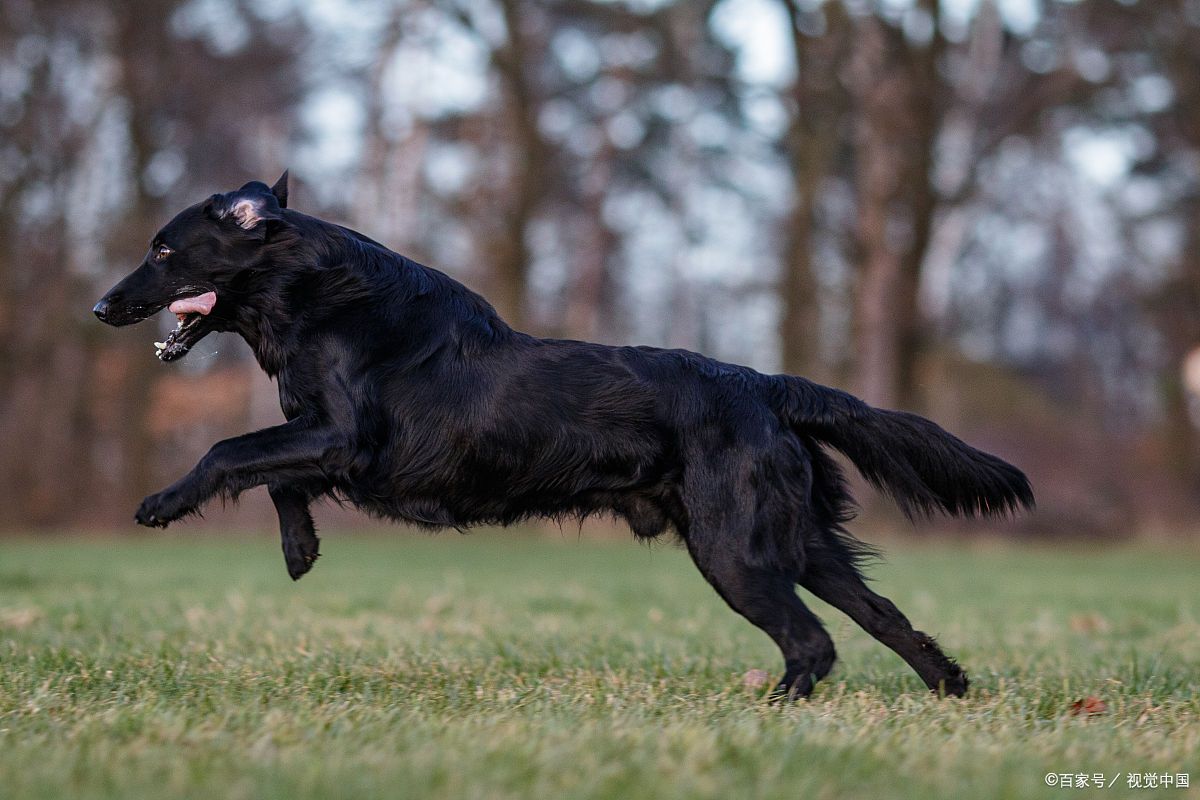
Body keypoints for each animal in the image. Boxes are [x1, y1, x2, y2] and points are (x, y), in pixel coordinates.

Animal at [93, 173, 1032, 695]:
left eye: (165, 251)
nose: (101, 307)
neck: (321, 296)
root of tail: (764, 385)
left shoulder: (347, 438)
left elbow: (231, 452)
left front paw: (163, 502)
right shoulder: (333, 445)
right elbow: (277, 475)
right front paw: (301, 551)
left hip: (736, 550)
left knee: (815, 643)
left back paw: (770, 711)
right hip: (800, 543)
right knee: (887, 618)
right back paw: (952, 691)